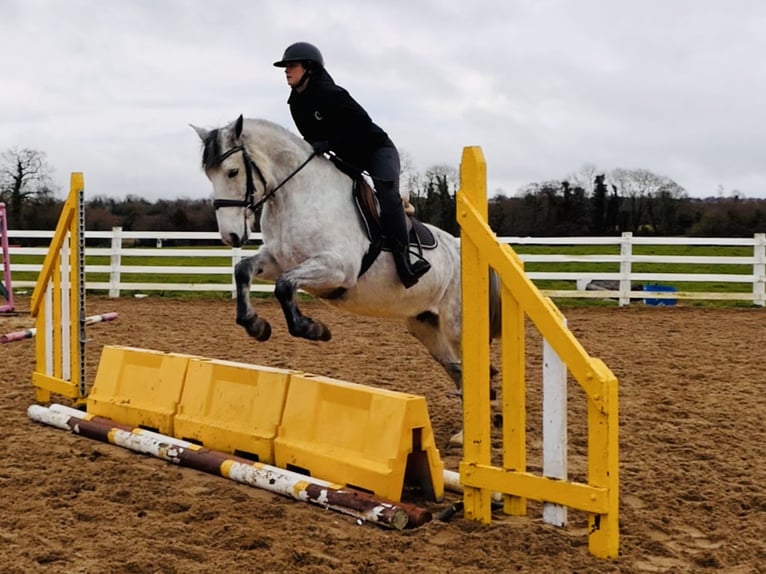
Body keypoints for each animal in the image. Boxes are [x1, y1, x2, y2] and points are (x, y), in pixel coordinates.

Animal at [192, 115, 501, 419]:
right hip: (424, 324)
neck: (298, 195)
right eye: (209, 175)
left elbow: (284, 286)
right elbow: (244, 270)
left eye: (232, 172)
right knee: (457, 369)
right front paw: (255, 325)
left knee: (473, 370)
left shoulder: (338, 268)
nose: (231, 236)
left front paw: (313, 329)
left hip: (457, 326)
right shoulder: (277, 261)